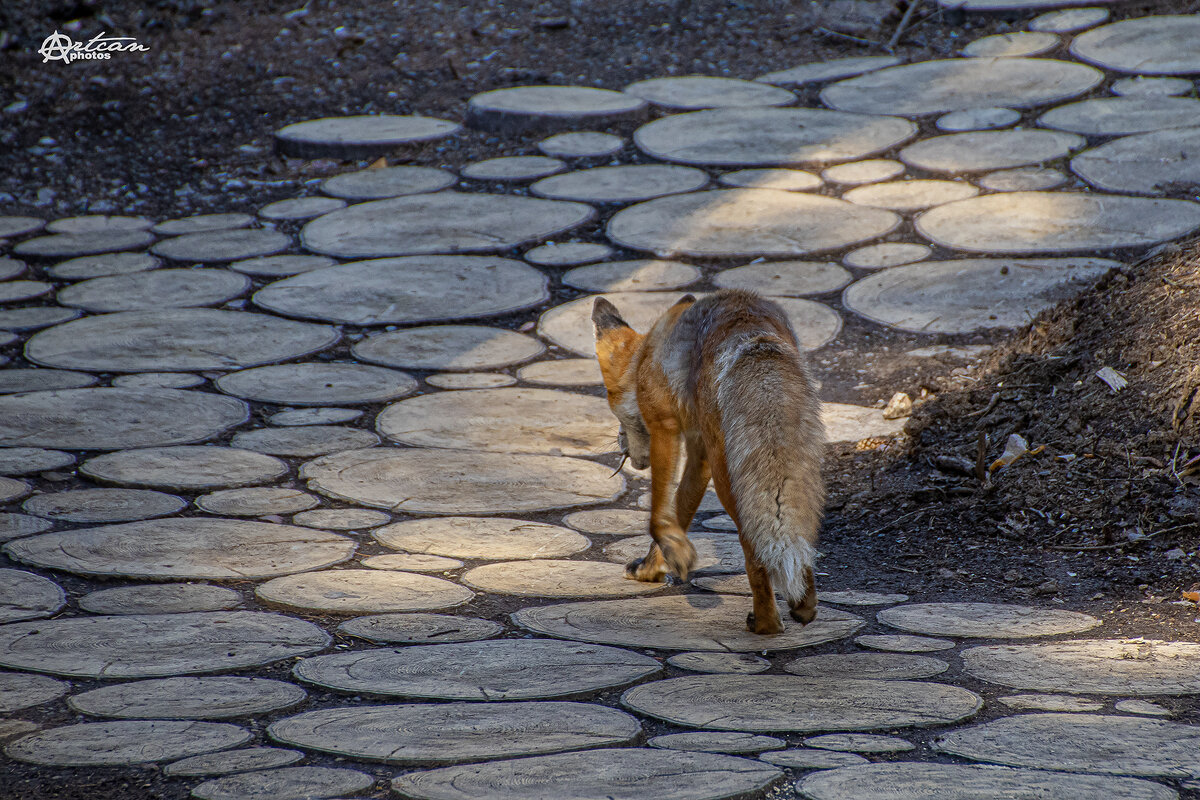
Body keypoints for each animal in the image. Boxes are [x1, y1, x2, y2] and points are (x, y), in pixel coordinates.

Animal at [590, 291, 825, 633]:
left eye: (609, 397)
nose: (620, 443)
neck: (646, 356)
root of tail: (752, 332)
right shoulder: (699, 454)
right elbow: (680, 510)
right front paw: (655, 566)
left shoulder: (665, 427)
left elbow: (658, 514)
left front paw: (672, 556)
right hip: (792, 465)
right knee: (797, 530)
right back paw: (804, 604)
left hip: (731, 476)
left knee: (754, 547)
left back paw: (766, 624)